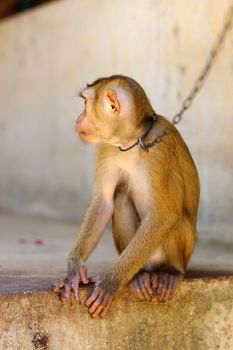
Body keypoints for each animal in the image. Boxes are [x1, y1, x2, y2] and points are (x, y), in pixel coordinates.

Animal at [52, 75, 198, 318]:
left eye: (85, 104)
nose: (78, 118)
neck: (132, 142)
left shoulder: (160, 150)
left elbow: (165, 215)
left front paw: (111, 282)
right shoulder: (106, 148)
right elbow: (103, 202)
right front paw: (73, 270)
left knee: (175, 221)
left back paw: (170, 272)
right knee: (121, 196)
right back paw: (139, 276)